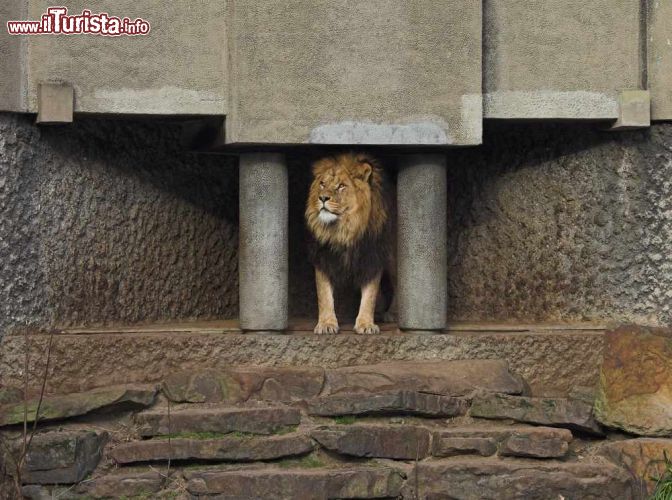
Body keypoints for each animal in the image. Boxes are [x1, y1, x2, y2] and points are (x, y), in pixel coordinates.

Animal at [304, 150, 394, 334]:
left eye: (341, 186)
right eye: (322, 184)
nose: (322, 198)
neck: (344, 231)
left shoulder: (372, 257)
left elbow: (370, 295)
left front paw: (366, 324)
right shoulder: (323, 257)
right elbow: (324, 294)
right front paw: (326, 324)